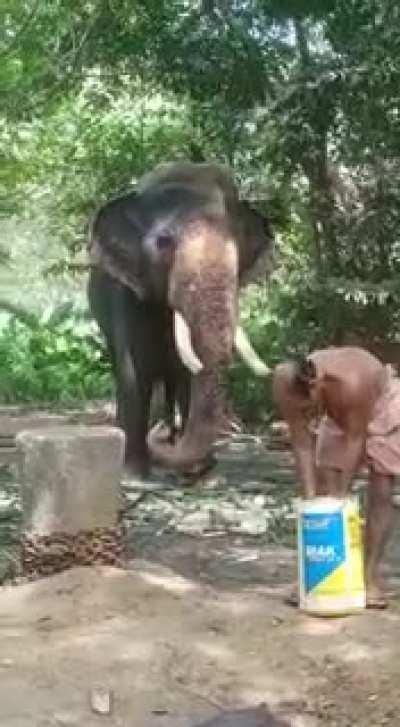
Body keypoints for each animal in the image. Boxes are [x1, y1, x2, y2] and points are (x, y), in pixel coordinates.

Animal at [88, 161, 273, 478]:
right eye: (163, 242)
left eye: (238, 247)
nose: (157, 441)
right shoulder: (127, 292)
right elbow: (136, 373)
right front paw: (134, 473)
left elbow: (189, 375)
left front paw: (198, 473)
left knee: (174, 380)